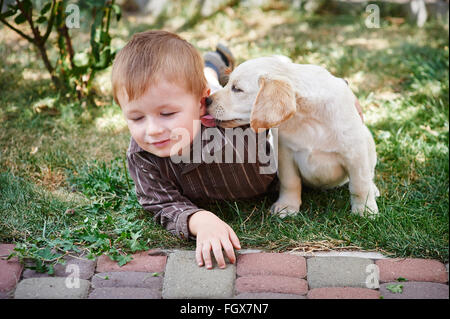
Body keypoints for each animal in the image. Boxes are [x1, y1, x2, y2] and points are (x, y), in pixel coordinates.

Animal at [207, 56, 380, 219]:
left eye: (237, 89)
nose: (206, 99)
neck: (306, 118)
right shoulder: (285, 154)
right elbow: (290, 182)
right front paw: (287, 206)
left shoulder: (355, 152)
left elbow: (360, 184)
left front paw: (365, 210)